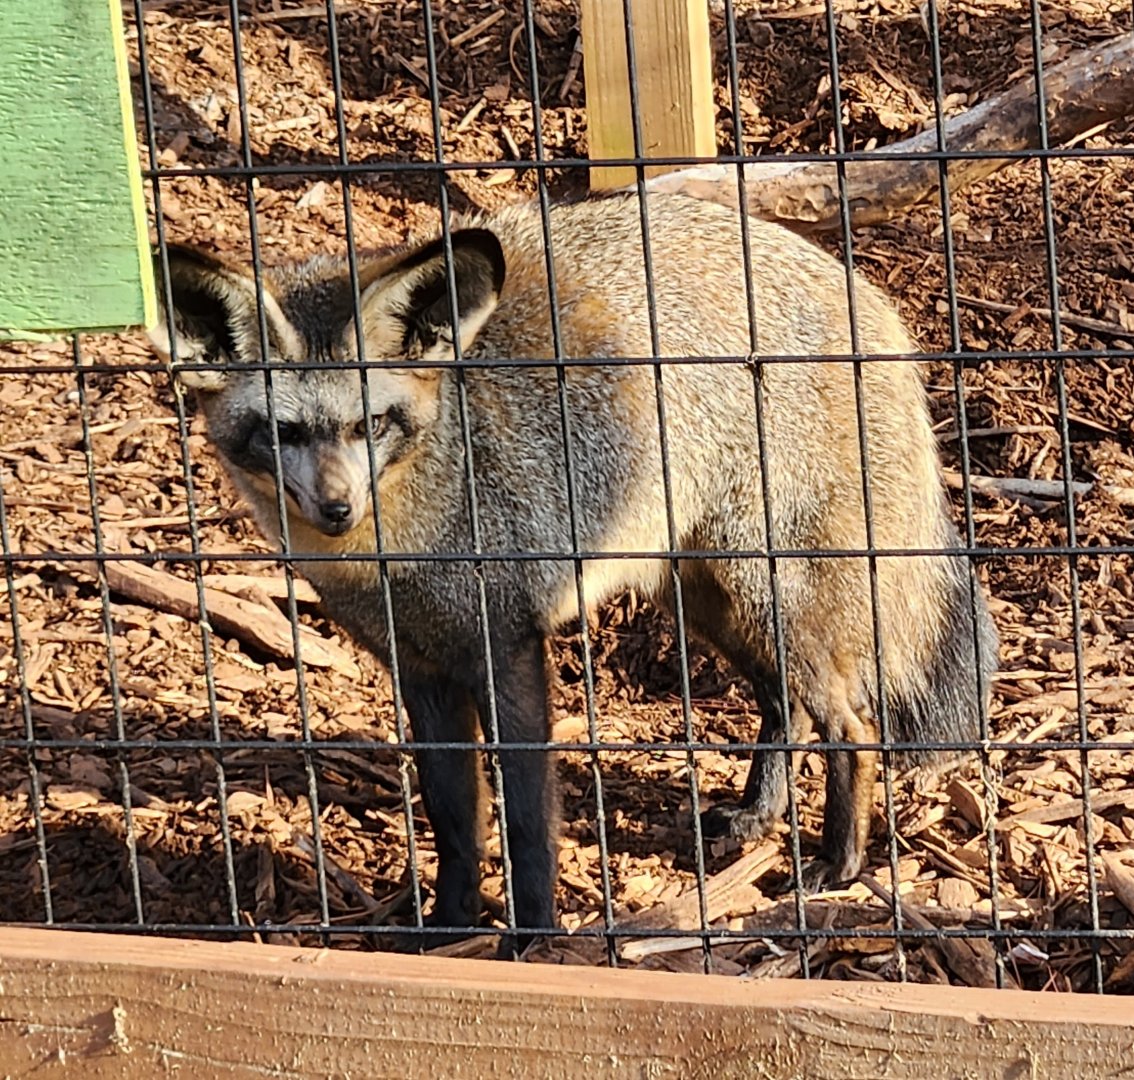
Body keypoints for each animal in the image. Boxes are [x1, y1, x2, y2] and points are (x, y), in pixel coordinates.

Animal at [148, 191, 998, 941]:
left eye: (372, 424)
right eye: (281, 433)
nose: (336, 507)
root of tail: (863, 294)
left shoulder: (507, 648)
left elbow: (526, 823)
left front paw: (531, 939)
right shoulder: (420, 668)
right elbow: (454, 819)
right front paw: (448, 926)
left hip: (763, 591)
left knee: (851, 725)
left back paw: (839, 865)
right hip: (710, 600)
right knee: (784, 704)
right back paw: (760, 815)